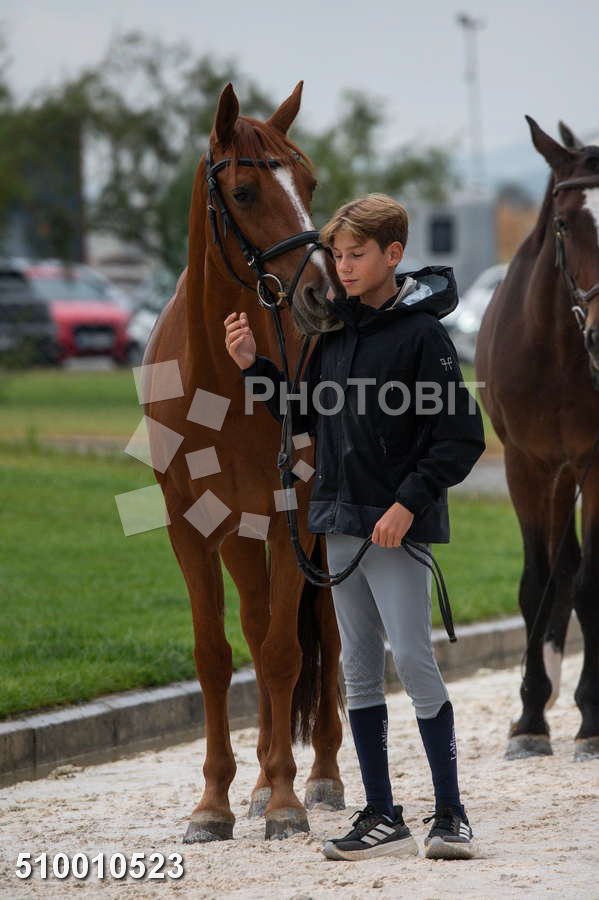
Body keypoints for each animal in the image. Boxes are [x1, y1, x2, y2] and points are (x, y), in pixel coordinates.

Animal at [140, 82, 346, 841]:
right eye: (247, 189)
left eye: (309, 184)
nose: (325, 295)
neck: (219, 377)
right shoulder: (193, 527)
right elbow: (218, 655)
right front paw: (215, 802)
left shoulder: (294, 517)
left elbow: (289, 652)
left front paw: (286, 801)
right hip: (240, 534)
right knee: (258, 631)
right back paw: (257, 780)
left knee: (322, 639)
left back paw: (318, 777)